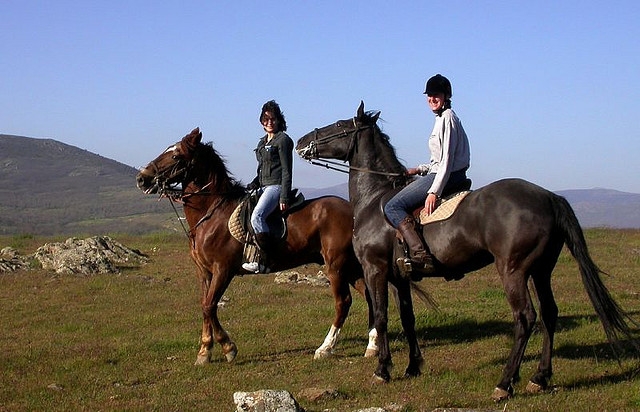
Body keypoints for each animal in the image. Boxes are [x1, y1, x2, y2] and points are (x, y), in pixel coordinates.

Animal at [136, 127, 378, 365]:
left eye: (176, 156)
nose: (142, 178)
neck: (212, 213)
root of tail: (355, 211)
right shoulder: (204, 271)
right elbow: (204, 306)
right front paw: (205, 351)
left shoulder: (223, 269)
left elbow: (210, 305)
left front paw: (228, 347)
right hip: (351, 267)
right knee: (369, 295)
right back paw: (373, 345)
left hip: (337, 266)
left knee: (343, 302)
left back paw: (326, 348)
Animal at [296, 101, 639, 401]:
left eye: (340, 126)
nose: (301, 141)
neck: (376, 200)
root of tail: (548, 197)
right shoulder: (401, 277)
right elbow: (408, 319)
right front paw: (412, 367)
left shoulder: (375, 269)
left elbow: (381, 317)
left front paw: (382, 370)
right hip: (541, 270)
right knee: (549, 314)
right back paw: (539, 378)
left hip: (513, 270)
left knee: (526, 318)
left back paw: (504, 383)